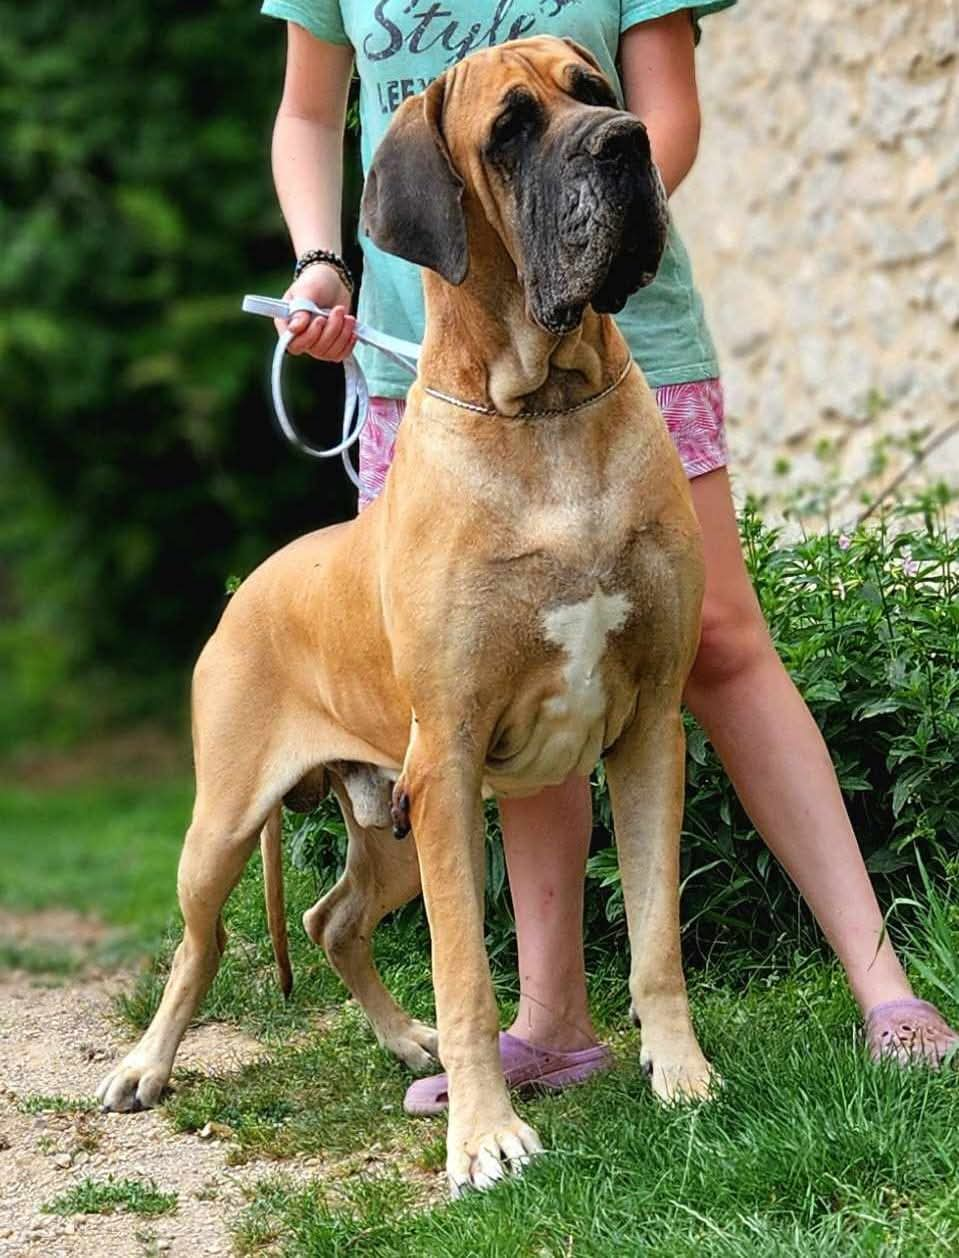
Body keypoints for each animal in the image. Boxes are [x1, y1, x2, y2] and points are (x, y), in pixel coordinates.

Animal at [96, 34, 714, 1192]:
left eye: (597, 91)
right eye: (510, 129)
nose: (627, 143)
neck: (544, 408)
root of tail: (248, 587)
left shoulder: (650, 729)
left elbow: (656, 937)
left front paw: (682, 1075)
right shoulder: (454, 757)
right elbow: (466, 973)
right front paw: (485, 1137)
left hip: (388, 813)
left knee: (331, 919)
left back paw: (402, 1042)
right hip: (237, 818)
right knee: (201, 945)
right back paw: (145, 1067)